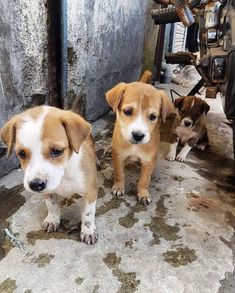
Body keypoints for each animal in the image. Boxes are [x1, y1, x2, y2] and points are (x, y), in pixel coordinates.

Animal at [0, 105, 98, 244]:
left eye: (57, 151)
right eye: (21, 153)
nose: (35, 185)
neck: (64, 174)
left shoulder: (91, 191)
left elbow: (88, 214)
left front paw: (88, 231)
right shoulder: (48, 191)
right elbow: (52, 205)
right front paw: (52, 220)